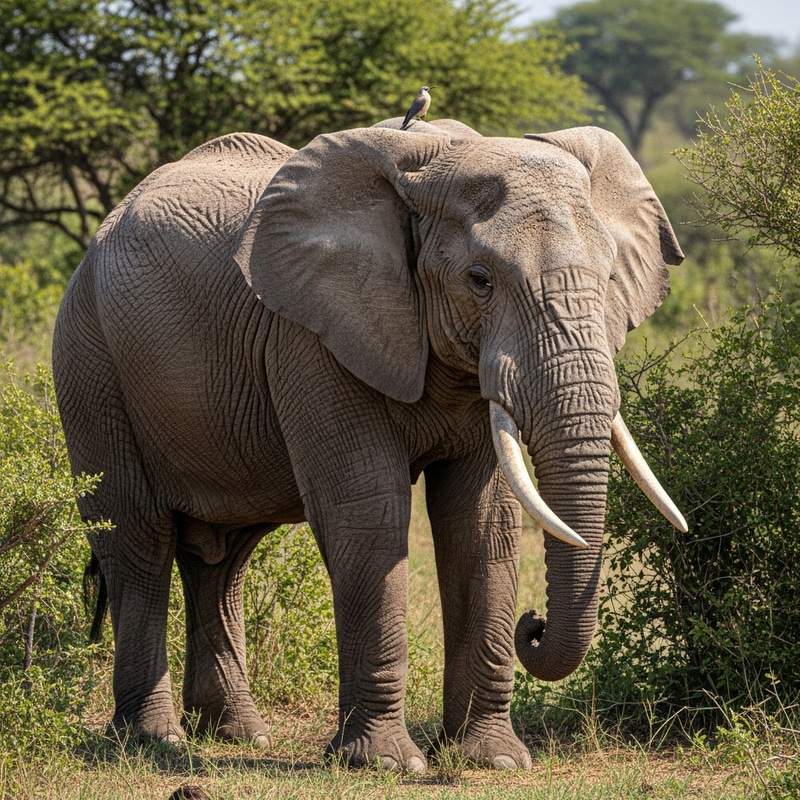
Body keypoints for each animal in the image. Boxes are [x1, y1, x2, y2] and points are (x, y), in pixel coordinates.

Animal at [52, 115, 687, 772]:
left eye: (609, 278)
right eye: (479, 281)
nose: (532, 623)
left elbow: (480, 518)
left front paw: (491, 761)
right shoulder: (311, 337)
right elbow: (369, 511)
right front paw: (385, 764)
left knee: (221, 557)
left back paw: (238, 736)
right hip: (90, 359)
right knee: (138, 539)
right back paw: (155, 739)